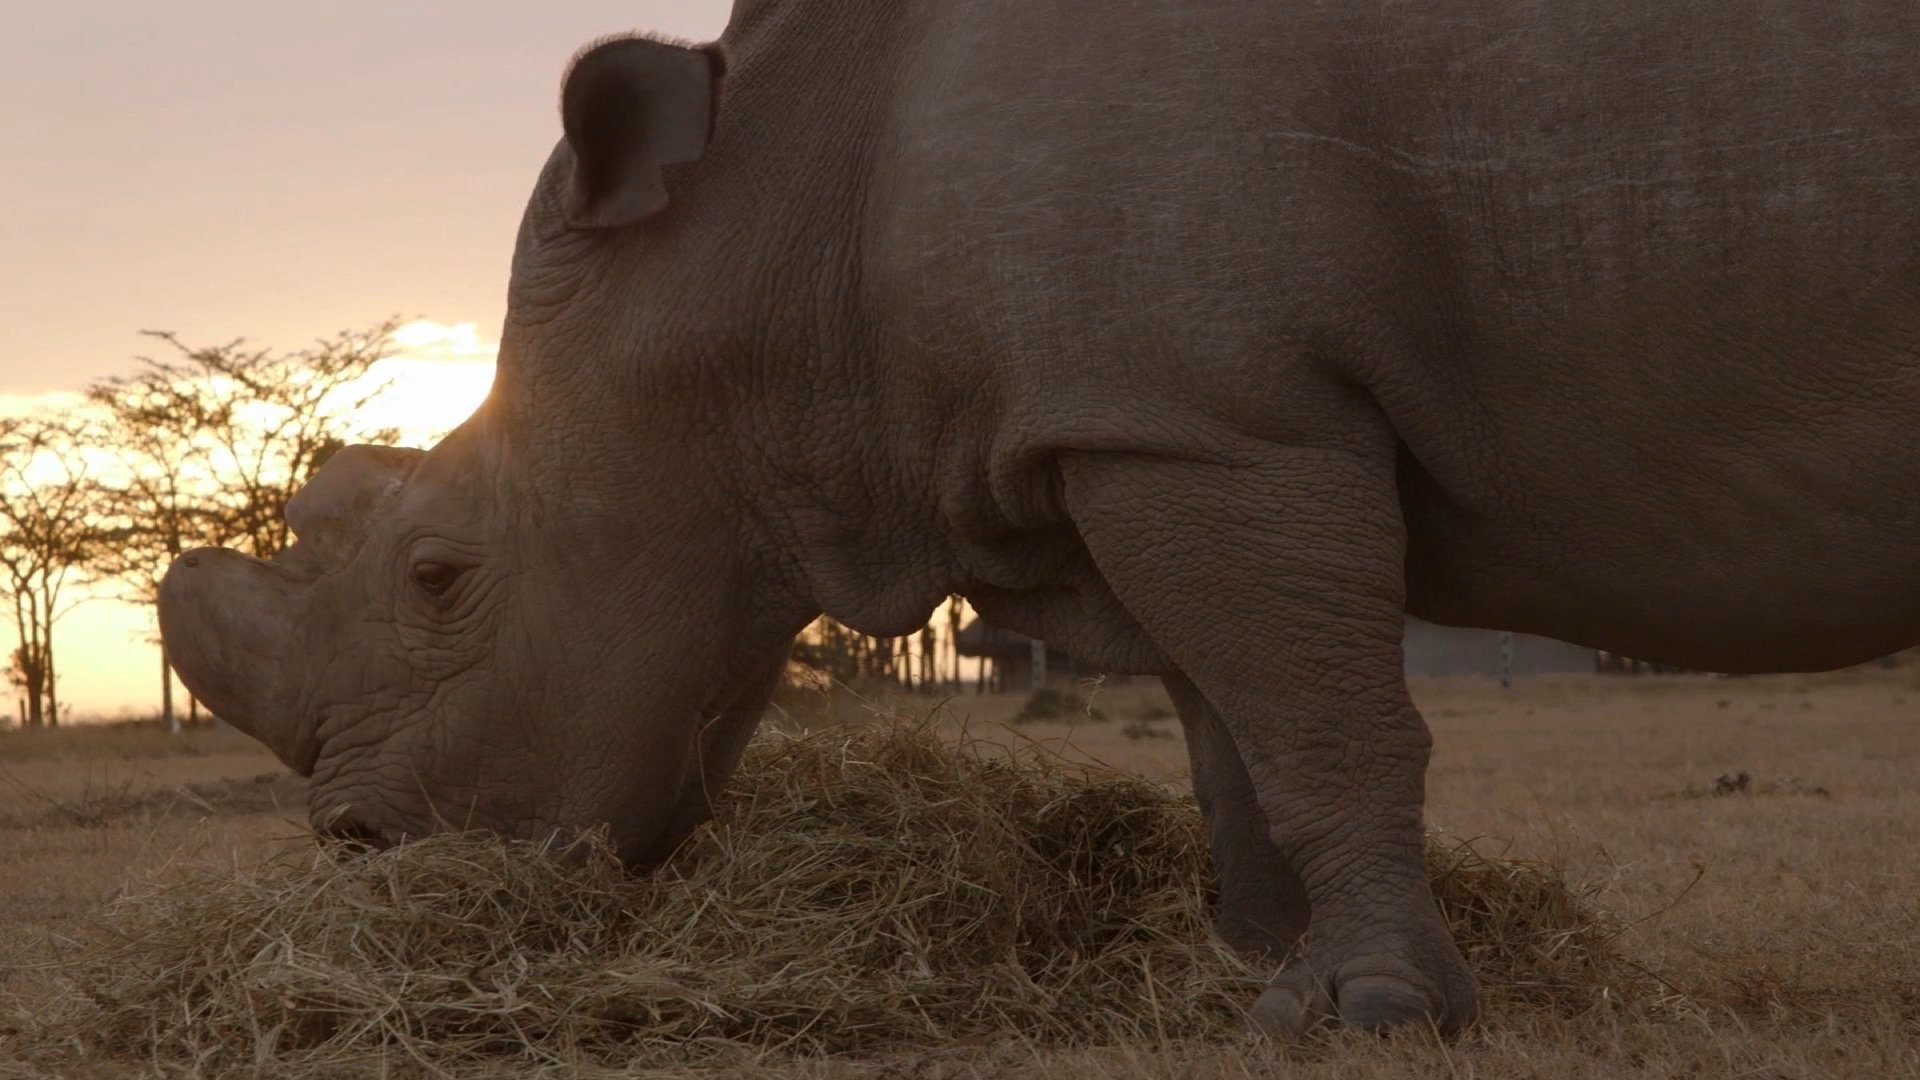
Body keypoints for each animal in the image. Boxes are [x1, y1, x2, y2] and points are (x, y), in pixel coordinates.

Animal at [161, 0, 1920, 1037]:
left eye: (438, 572)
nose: (354, 855)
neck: (775, 232)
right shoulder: (1158, 424)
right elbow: (1237, 727)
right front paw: (1258, 970)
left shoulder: (1214, 416)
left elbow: (1324, 723)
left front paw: (1367, 1012)